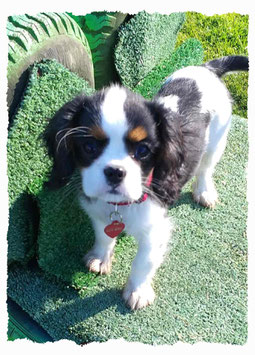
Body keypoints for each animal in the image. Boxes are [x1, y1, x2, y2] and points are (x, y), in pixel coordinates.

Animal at [44, 56, 248, 312]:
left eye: (143, 151)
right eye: (89, 147)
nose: (115, 172)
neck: (121, 205)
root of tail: (208, 67)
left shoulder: (155, 230)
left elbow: (144, 261)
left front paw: (138, 291)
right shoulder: (98, 212)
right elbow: (103, 235)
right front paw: (101, 257)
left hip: (218, 138)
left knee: (205, 168)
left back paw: (204, 192)